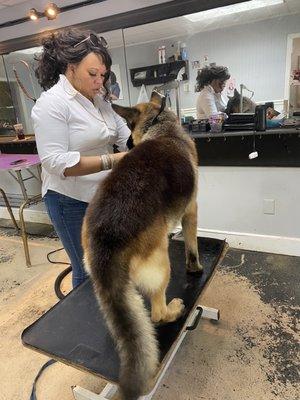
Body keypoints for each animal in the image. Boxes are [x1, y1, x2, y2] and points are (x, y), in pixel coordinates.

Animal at [82, 91, 203, 400]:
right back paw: (174, 309)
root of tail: (106, 236)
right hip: (162, 265)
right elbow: (192, 247)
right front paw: (195, 268)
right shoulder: (192, 210)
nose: (124, 145)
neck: (162, 129)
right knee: (157, 313)